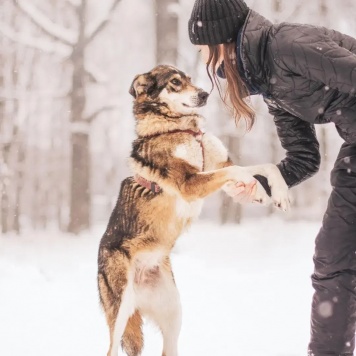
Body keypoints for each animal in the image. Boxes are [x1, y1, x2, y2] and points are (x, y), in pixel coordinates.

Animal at [97, 64, 290, 356]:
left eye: (188, 78)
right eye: (175, 82)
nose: (205, 94)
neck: (184, 129)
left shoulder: (220, 163)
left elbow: (263, 166)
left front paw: (276, 192)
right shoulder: (189, 183)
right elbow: (238, 170)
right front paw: (257, 189)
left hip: (174, 314)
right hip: (121, 312)